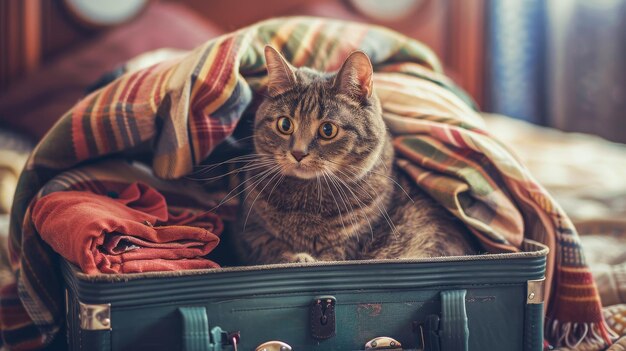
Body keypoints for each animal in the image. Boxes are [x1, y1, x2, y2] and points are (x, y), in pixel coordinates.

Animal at [233, 45, 472, 264]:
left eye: (327, 130)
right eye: (284, 125)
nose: (298, 153)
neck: (307, 201)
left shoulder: (353, 243)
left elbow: (331, 257)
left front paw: (306, 258)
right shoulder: (249, 233)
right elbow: (271, 249)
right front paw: (297, 257)